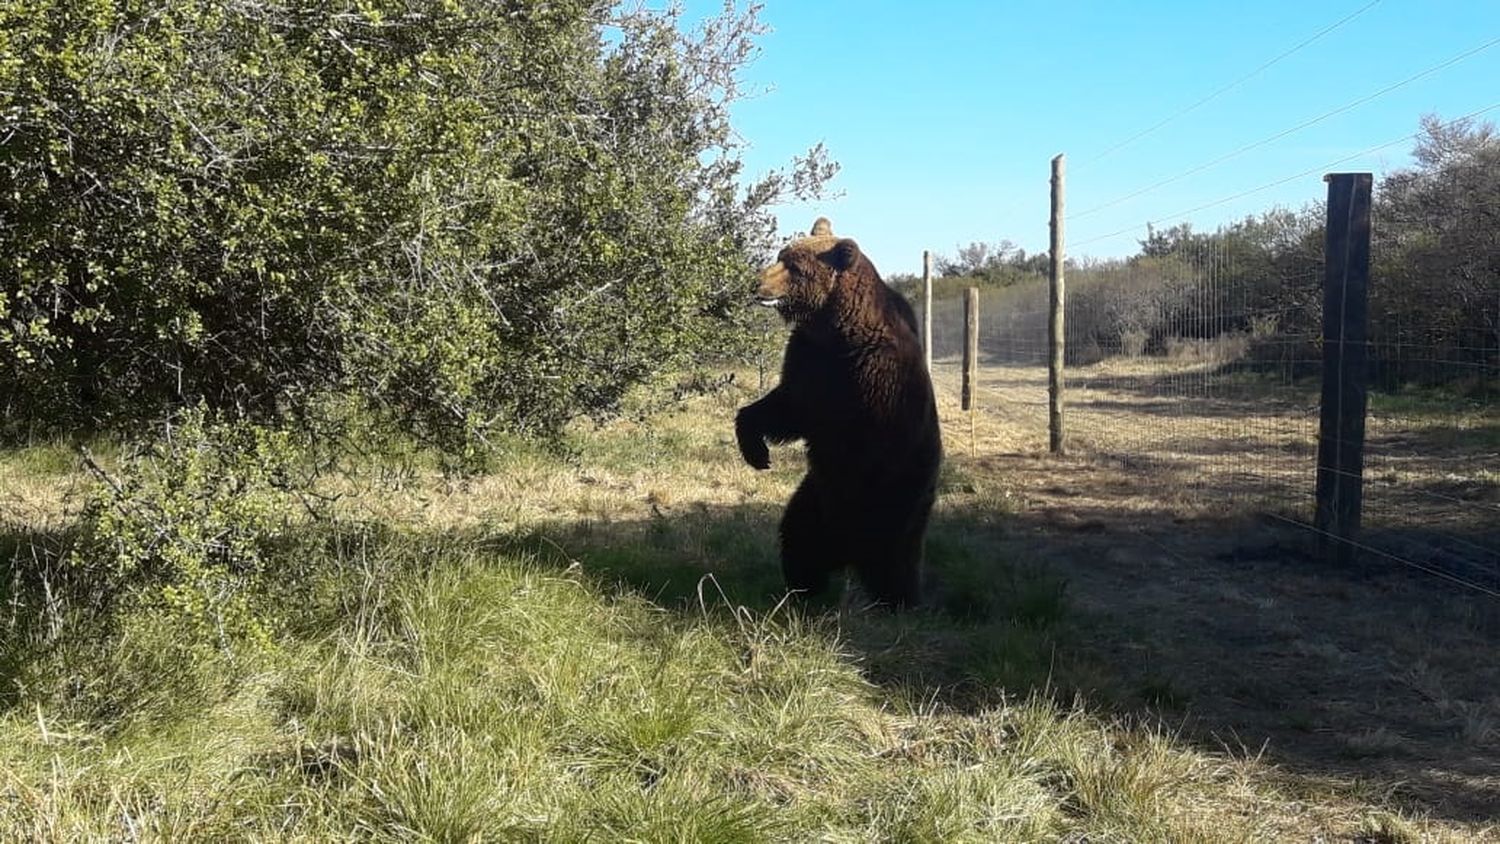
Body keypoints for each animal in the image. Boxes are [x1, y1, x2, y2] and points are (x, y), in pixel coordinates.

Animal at [735, 217, 942, 608]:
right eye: (781, 256)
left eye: (794, 266)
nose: (757, 283)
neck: (835, 327)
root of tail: (846, 553)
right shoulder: (808, 358)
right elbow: (785, 406)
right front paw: (756, 451)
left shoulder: (873, 378)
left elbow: (843, 428)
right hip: (814, 501)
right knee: (799, 536)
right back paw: (804, 589)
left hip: (901, 495)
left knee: (893, 554)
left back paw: (899, 601)